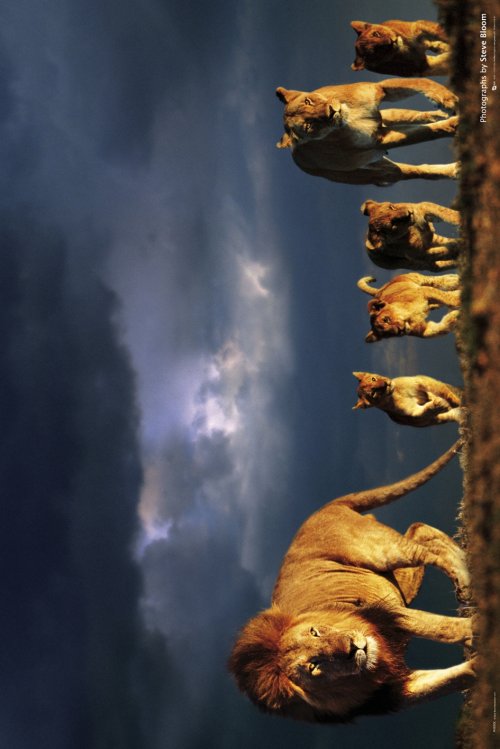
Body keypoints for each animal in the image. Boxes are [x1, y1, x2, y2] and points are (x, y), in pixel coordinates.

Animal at [228, 442, 475, 723]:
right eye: (314, 666)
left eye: (315, 631)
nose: (352, 648)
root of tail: (322, 508)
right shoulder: (390, 693)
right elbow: (456, 676)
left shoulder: (390, 613)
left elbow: (444, 628)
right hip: (397, 583)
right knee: (421, 531)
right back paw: (465, 576)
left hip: (379, 551)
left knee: (424, 547)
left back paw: (465, 580)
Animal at [276, 79, 459, 186]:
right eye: (309, 125)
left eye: (308, 101)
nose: (330, 112)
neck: (351, 117)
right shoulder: (379, 140)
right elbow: (426, 133)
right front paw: (454, 124)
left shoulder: (379, 87)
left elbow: (422, 82)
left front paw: (447, 99)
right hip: (381, 173)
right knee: (416, 171)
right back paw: (455, 170)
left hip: (387, 116)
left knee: (411, 116)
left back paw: (439, 114)